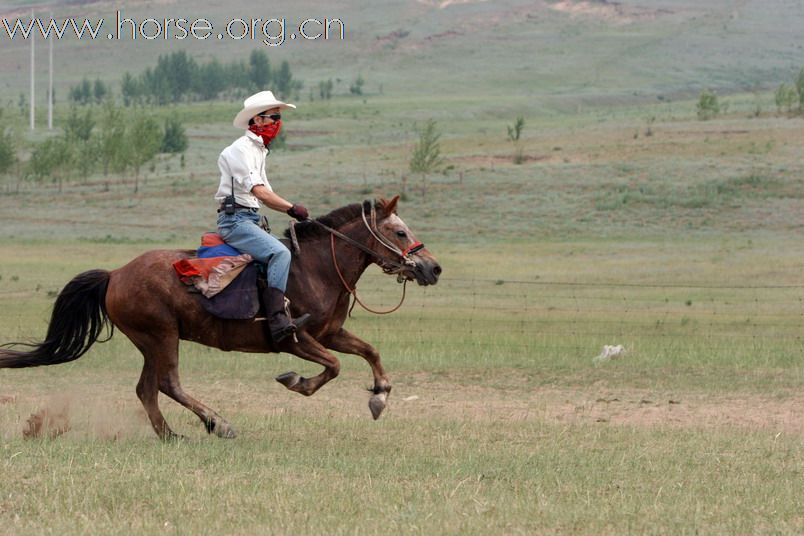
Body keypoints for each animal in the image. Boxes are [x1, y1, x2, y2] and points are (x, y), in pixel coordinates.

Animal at [0, 197, 440, 440]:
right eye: (400, 232)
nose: (432, 268)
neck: (317, 267)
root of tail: (115, 274)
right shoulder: (294, 339)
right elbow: (332, 368)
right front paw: (296, 381)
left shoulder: (330, 332)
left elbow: (369, 351)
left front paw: (379, 396)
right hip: (161, 335)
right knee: (167, 383)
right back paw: (219, 423)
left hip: (151, 342)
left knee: (147, 389)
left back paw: (171, 435)